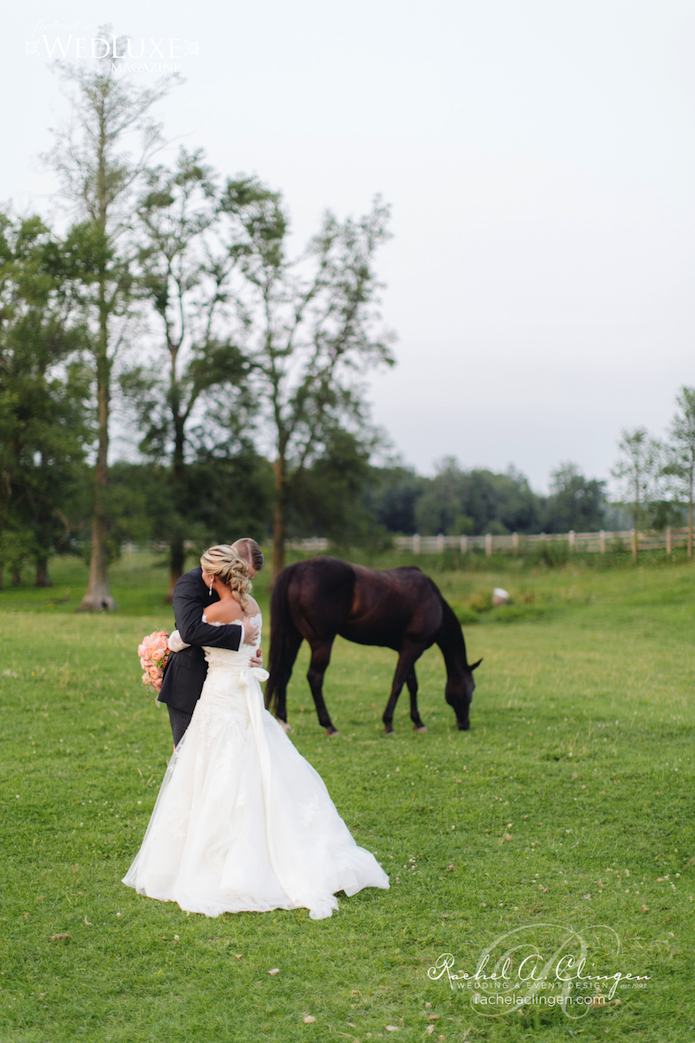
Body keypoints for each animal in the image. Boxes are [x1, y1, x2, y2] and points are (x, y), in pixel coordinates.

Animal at [265, 559, 482, 738]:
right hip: (322, 642)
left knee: (284, 673)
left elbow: (411, 685)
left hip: (293, 637)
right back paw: (330, 726)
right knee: (314, 678)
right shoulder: (413, 647)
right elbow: (398, 685)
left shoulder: (407, 649)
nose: (464, 724)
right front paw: (388, 724)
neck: (432, 598)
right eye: (472, 687)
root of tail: (297, 569)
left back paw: (285, 723)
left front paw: (418, 723)